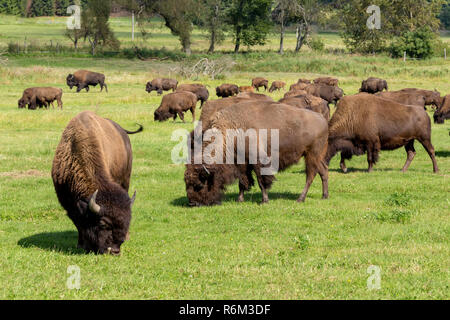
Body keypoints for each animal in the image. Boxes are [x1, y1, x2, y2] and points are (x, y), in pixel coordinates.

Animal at [51, 110, 143, 255]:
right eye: (102, 224)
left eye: (128, 221)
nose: (114, 250)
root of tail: (122, 131)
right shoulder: (68, 203)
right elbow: (79, 224)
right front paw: (81, 244)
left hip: (126, 178)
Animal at [185, 102, 328, 208]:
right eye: (187, 183)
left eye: (199, 185)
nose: (193, 203)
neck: (232, 129)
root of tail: (323, 119)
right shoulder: (242, 163)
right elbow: (243, 181)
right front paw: (240, 199)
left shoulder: (257, 161)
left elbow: (261, 181)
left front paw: (264, 201)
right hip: (316, 157)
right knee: (323, 171)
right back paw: (324, 196)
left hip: (311, 155)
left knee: (310, 175)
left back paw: (300, 199)